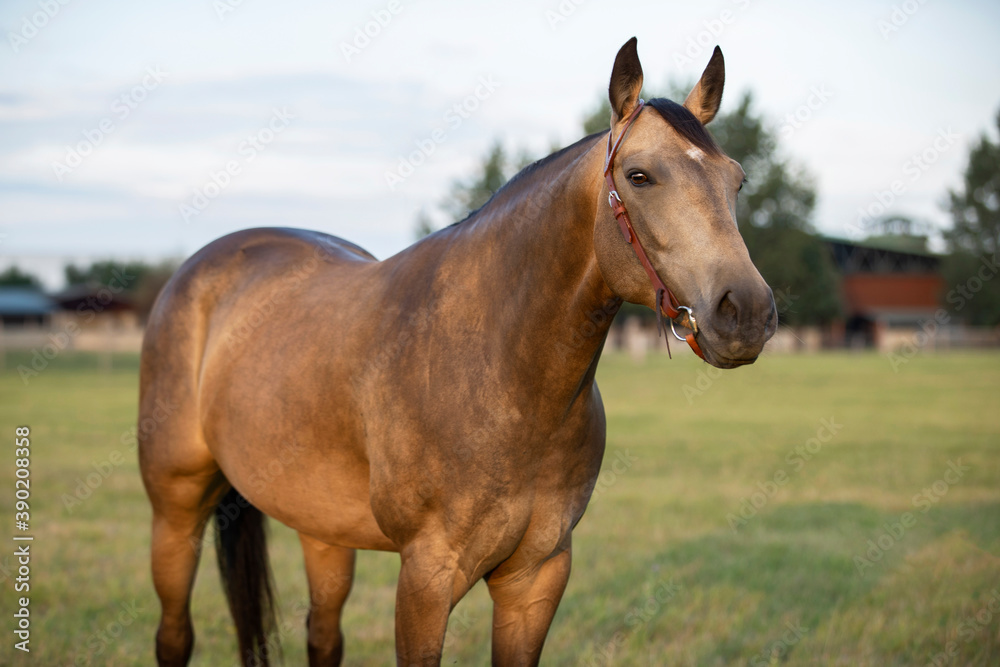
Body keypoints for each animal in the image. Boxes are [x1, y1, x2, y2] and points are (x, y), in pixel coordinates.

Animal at [141, 37, 776, 667]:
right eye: (640, 176)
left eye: (737, 181)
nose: (746, 312)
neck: (504, 375)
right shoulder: (426, 577)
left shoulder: (536, 576)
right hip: (175, 514)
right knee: (174, 635)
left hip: (320, 527)